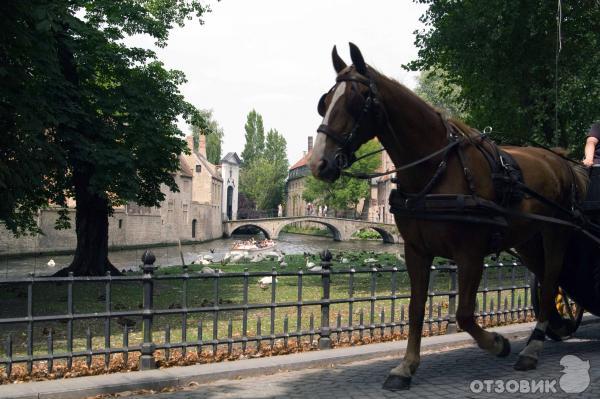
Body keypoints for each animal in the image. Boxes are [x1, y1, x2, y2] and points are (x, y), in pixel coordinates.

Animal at [310, 43, 592, 390]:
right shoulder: (416, 251)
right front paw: (405, 367)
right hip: (528, 240)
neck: (436, 169)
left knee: (551, 279)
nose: (319, 163)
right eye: (325, 102)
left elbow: (464, 314)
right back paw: (553, 326)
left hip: (556, 234)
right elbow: (416, 308)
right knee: (549, 281)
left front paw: (498, 343)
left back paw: (532, 349)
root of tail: (561, 159)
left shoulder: (469, 253)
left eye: (355, 99)